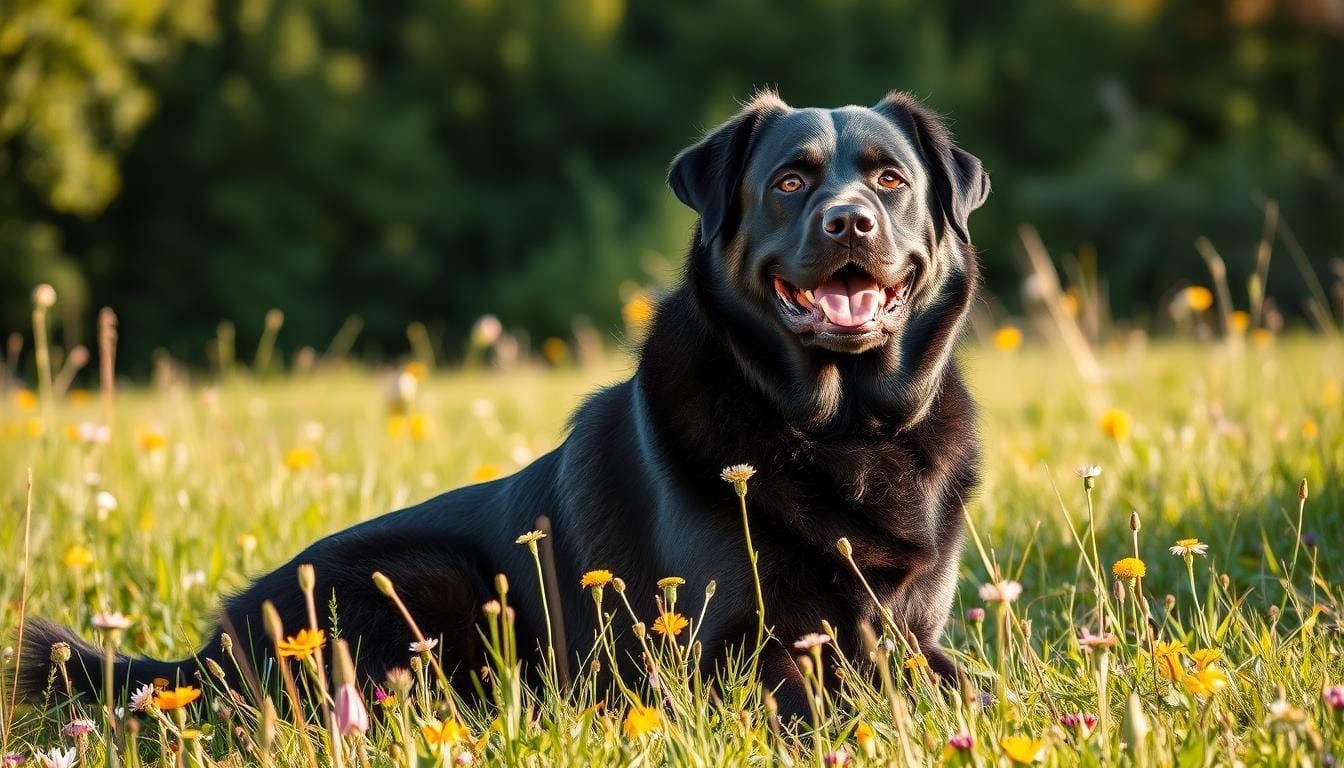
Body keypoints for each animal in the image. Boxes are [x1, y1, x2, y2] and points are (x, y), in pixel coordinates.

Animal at [23, 90, 989, 720]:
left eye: (891, 181)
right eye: (789, 183)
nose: (849, 222)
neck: (841, 430)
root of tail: (204, 652)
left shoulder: (909, 636)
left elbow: (964, 682)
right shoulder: (724, 651)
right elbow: (823, 705)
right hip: (427, 577)